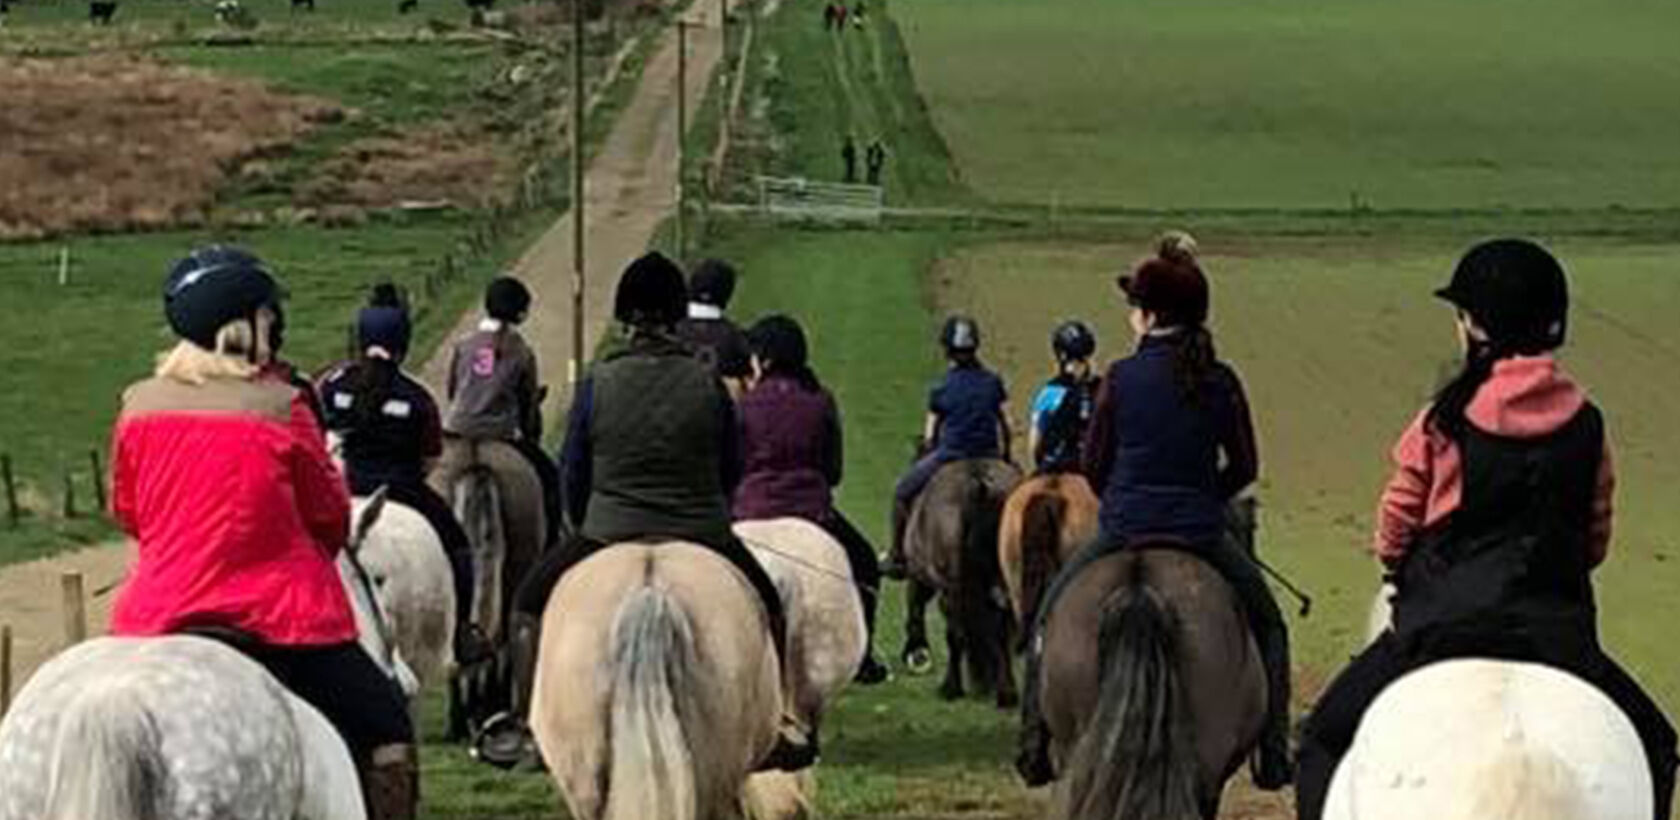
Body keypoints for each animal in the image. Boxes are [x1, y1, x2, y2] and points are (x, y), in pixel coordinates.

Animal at [907, 457, 1021, 709]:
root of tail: (980, 482)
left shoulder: (921, 578)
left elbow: (916, 607)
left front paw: (916, 652)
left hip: (950, 589)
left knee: (956, 634)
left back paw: (951, 687)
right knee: (1003, 631)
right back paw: (1006, 692)